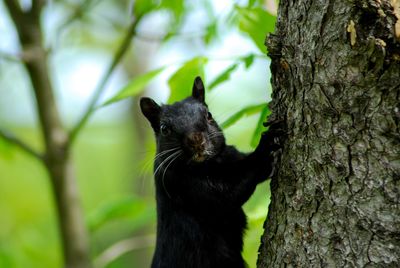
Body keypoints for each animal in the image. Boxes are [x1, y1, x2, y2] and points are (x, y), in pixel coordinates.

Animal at [141, 76, 282, 266]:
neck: (209, 164)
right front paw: (265, 147)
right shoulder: (180, 185)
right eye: (164, 129)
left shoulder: (231, 155)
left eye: (209, 115)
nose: (196, 140)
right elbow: (227, 196)